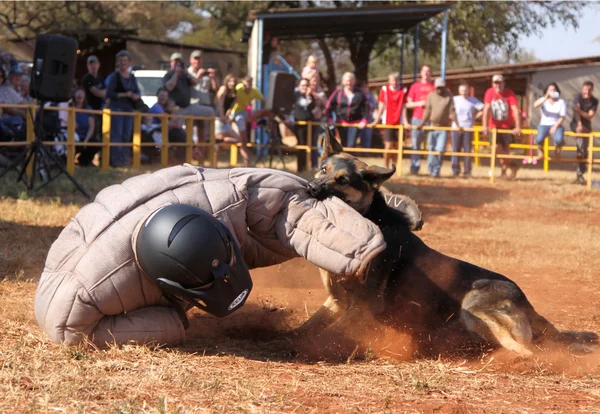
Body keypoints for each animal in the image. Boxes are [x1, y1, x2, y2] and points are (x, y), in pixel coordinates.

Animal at [302, 128, 596, 358]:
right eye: (323, 169)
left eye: (343, 180)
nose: (312, 188)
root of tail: (527, 303)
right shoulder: (336, 302)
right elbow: (309, 326)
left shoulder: (364, 308)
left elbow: (327, 334)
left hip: (473, 305)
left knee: (527, 351)